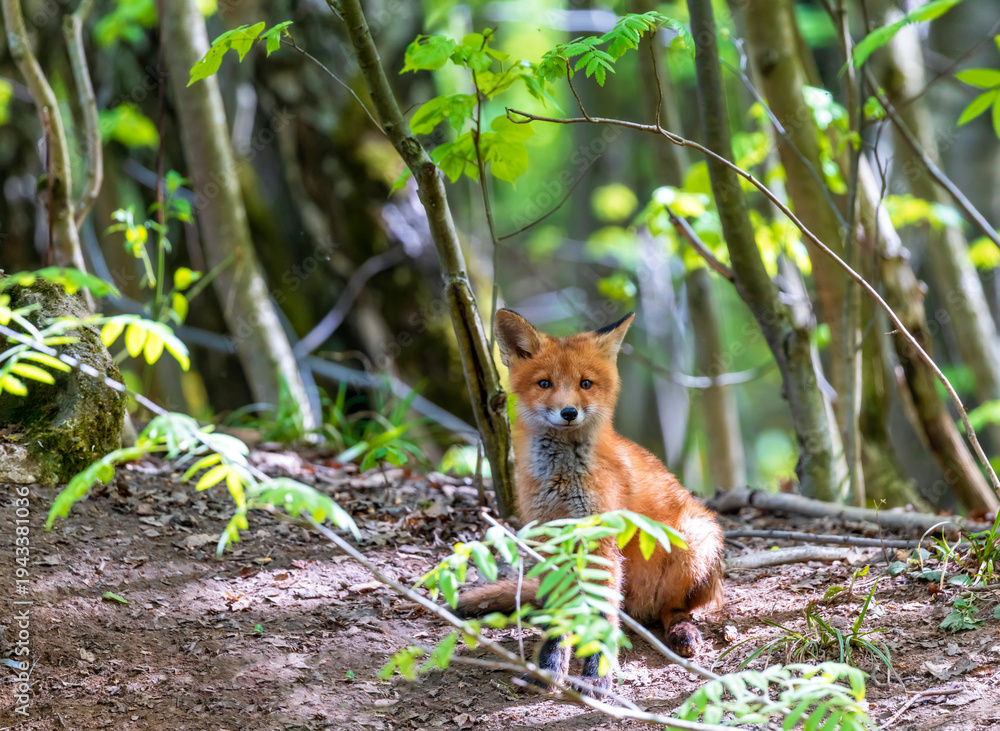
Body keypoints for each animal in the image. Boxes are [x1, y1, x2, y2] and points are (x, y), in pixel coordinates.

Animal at [456, 309, 724, 689]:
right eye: (545, 384)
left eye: (586, 384)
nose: (569, 412)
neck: (563, 478)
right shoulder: (550, 537)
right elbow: (560, 613)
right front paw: (551, 666)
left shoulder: (600, 541)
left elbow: (600, 615)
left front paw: (597, 674)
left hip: (695, 542)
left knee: (673, 610)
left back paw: (681, 632)